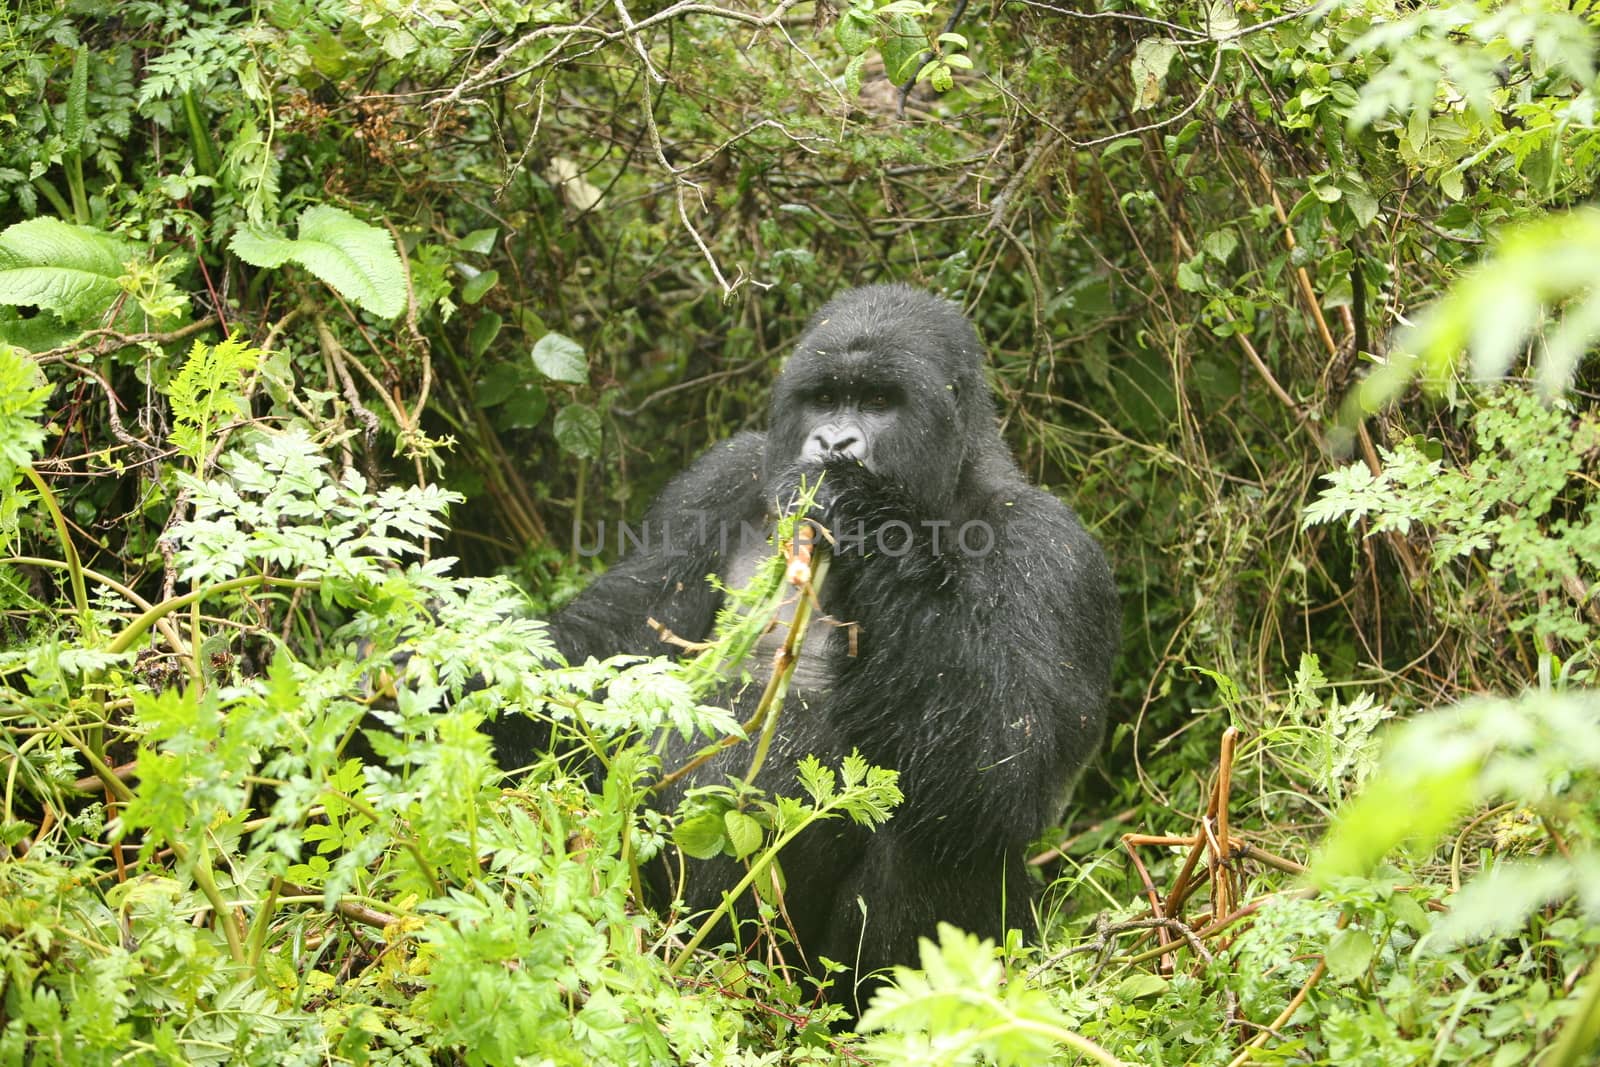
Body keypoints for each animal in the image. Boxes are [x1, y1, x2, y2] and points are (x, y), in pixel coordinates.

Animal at [496, 283, 1113, 1011]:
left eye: (879, 402)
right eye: (823, 399)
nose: (834, 441)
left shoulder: (1054, 550)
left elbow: (1009, 762)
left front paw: (862, 511)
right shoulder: (718, 476)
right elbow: (608, 650)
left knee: (947, 826)